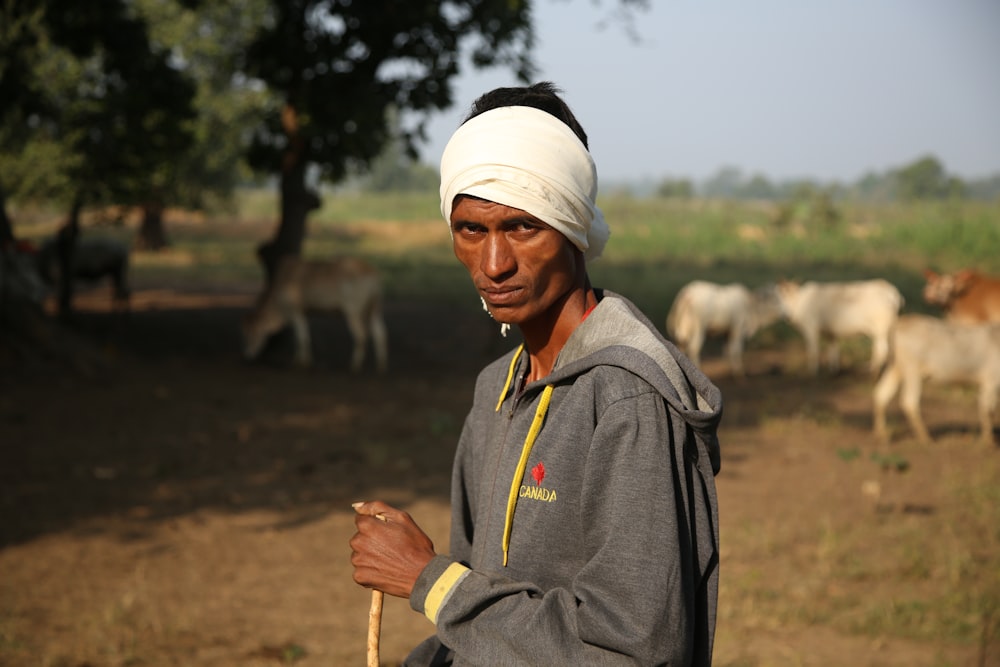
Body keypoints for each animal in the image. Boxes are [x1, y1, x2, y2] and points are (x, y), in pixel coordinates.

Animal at [244, 256, 388, 374]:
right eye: (246, 334)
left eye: (252, 333)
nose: (248, 355)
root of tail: (373, 274)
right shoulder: (303, 312)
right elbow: (301, 335)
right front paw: (300, 360)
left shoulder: (295, 311)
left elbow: (301, 336)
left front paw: (301, 363)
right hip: (375, 310)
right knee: (380, 334)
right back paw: (381, 367)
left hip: (353, 311)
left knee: (361, 335)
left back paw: (354, 366)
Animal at [772, 278, 908, 376]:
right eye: (779, 299)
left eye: (789, 297)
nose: (786, 315)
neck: (799, 303)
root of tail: (890, 290)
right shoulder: (830, 332)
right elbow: (833, 349)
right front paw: (833, 369)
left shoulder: (810, 329)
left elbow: (813, 351)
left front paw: (812, 372)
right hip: (890, 329)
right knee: (890, 350)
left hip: (880, 329)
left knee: (881, 349)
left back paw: (873, 371)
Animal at [876, 314, 1000, 444]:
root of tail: (900, 322)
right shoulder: (991, 381)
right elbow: (987, 411)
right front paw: (988, 440)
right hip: (912, 370)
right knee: (909, 402)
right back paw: (925, 437)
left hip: (895, 368)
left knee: (881, 395)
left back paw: (881, 435)